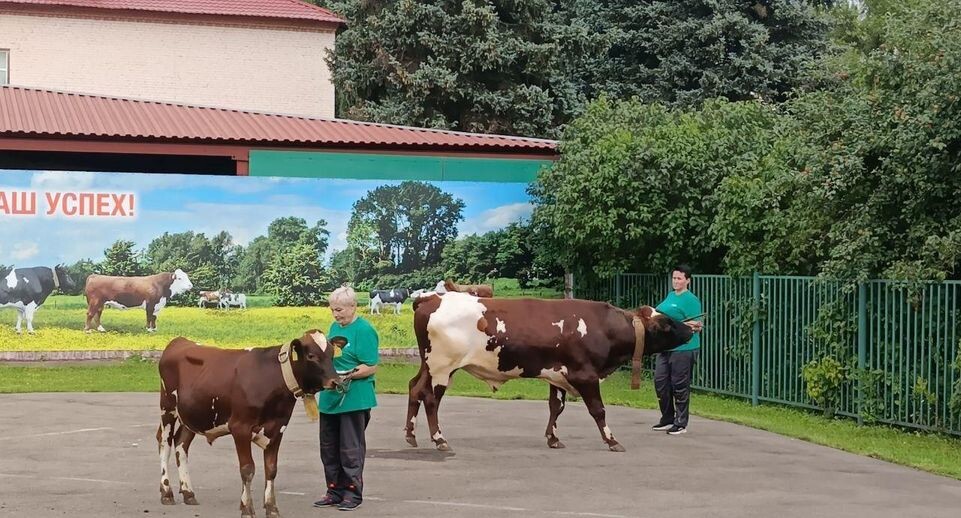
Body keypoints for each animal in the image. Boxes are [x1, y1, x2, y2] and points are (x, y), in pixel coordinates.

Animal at [161, 332, 344, 518]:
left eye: (332, 354)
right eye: (311, 356)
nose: (337, 382)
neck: (271, 377)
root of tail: (180, 340)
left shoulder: (278, 428)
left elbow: (271, 469)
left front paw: (271, 507)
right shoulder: (240, 428)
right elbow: (247, 469)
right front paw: (247, 508)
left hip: (190, 415)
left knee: (181, 444)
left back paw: (188, 493)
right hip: (167, 408)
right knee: (164, 445)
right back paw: (167, 493)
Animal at [404, 294, 688, 452]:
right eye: (667, 323)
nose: (691, 329)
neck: (602, 328)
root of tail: (433, 298)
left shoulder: (558, 375)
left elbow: (556, 407)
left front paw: (553, 438)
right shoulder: (585, 375)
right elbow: (598, 410)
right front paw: (611, 440)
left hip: (428, 365)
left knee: (415, 388)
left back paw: (410, 434)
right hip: (442, 368)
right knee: (431, 399)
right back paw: (439, 440)